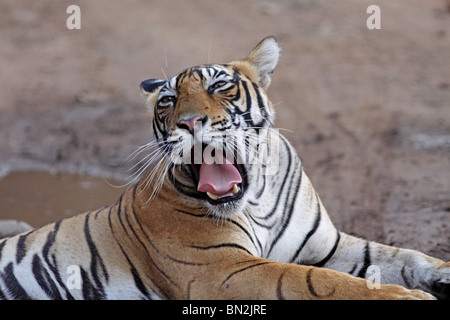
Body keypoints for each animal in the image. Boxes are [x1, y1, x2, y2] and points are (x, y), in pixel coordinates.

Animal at [0, 37, 448, 300]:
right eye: (168, 100)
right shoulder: (221, 270)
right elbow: (314, 280)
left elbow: (397, 255)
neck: (258, 199)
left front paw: (440, 274)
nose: (189, 122)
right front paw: (407, 297)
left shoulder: (327, 246)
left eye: (219, 86)